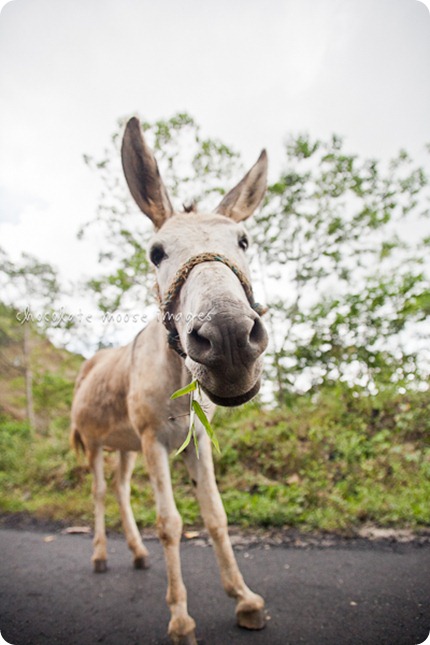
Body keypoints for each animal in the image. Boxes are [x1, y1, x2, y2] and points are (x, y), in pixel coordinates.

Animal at [70, 116, 269, 645]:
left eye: (244, 242)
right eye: (156, 253)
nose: (229, 338)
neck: (177, 375)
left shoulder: (195, 438)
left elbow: (215, 516)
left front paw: (244, 599)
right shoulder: (155, 440)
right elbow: (171, 523)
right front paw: (180, 618)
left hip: (124, 446)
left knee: (120, 490)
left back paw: (138, 555)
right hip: (98, 444)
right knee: (101, 492)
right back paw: (101, 556)